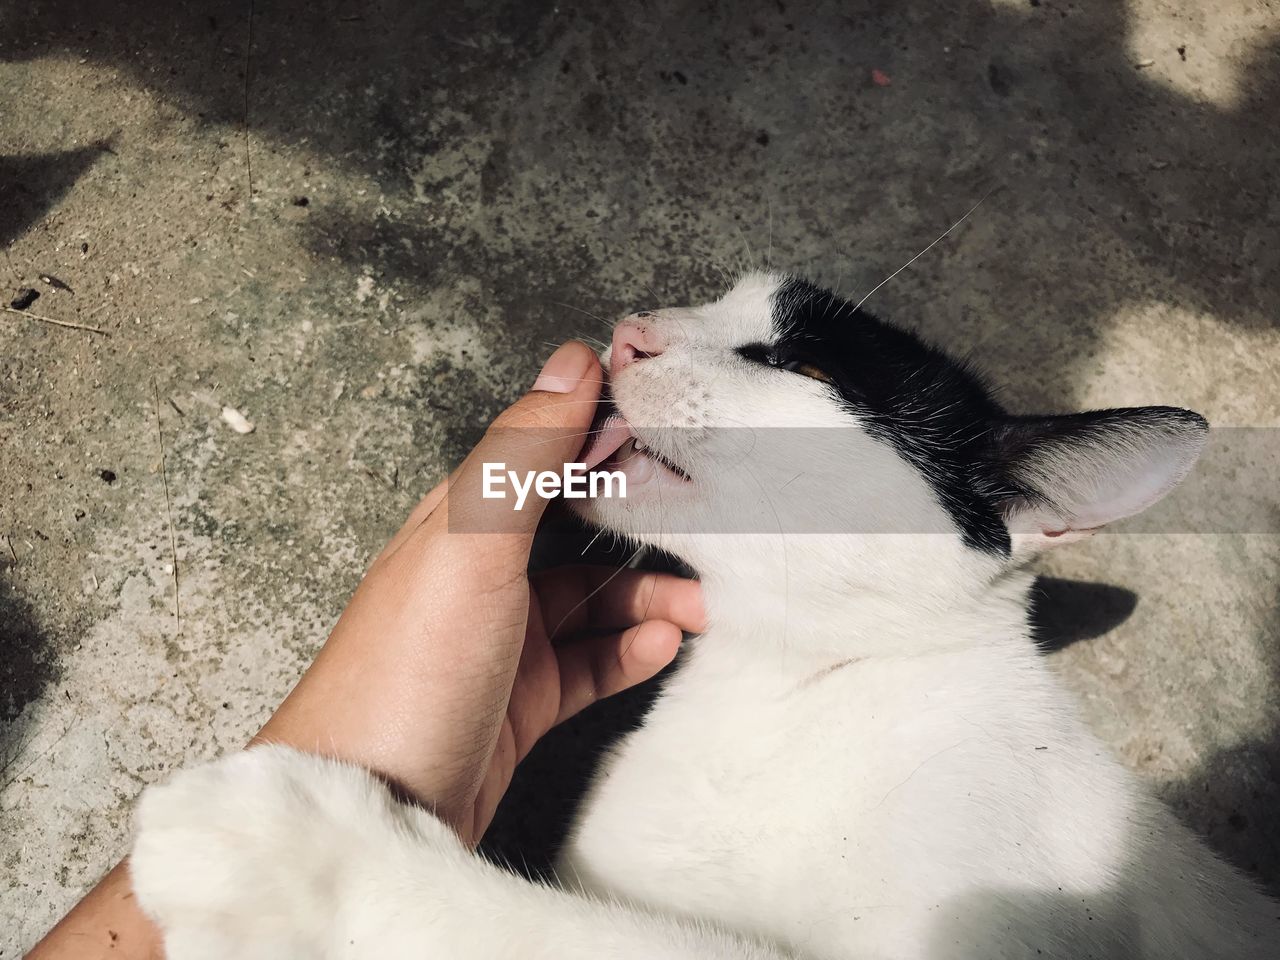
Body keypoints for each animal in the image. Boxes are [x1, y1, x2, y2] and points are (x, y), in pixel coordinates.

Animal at [132, 272, 1280, 960]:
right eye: (719, 303)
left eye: (800, 366)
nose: (634, 334)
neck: (779, 688)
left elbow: (580, 938)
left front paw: (298, 852)